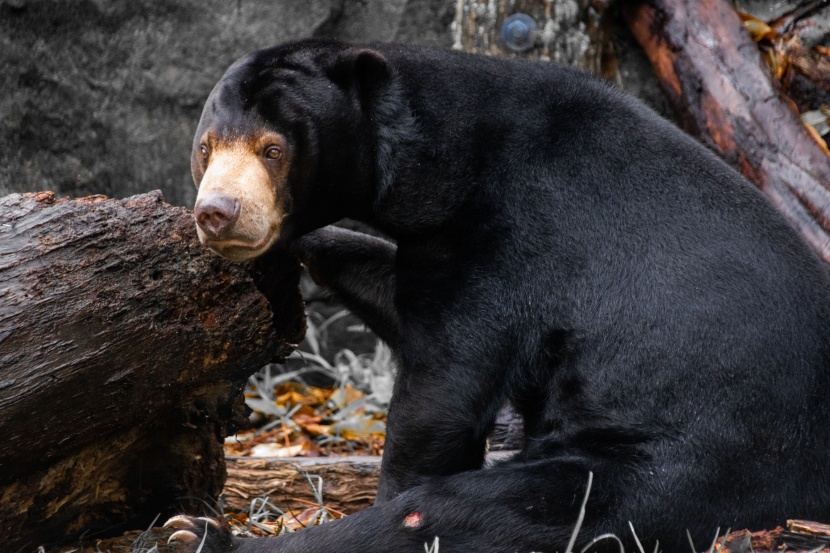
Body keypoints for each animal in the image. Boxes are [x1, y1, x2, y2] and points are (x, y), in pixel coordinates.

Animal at [164, 40, 830, 552]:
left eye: (274, 150)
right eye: (207, 147)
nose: (217, 214)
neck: (441, 160)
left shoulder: (511, 236)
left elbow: (446, 385)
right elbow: (394, 291)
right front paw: (303, 244)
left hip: (681, 463)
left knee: (463, 511)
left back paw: (199, 534)